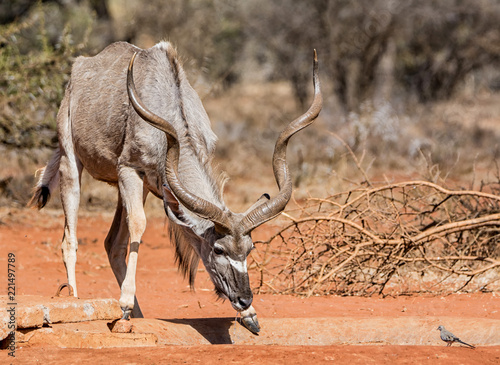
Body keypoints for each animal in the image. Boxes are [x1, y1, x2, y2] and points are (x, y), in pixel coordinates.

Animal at [29, 41, 322, 332]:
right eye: (219, 249)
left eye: (249, 249)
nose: (244, 298)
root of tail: (79, 69)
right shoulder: (129, 170)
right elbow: (139, 225)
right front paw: (124, 305)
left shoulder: (163, 191)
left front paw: (251, 315)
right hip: (71, 163)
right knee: (70, 239)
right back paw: (78, 302)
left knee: (112, 243)